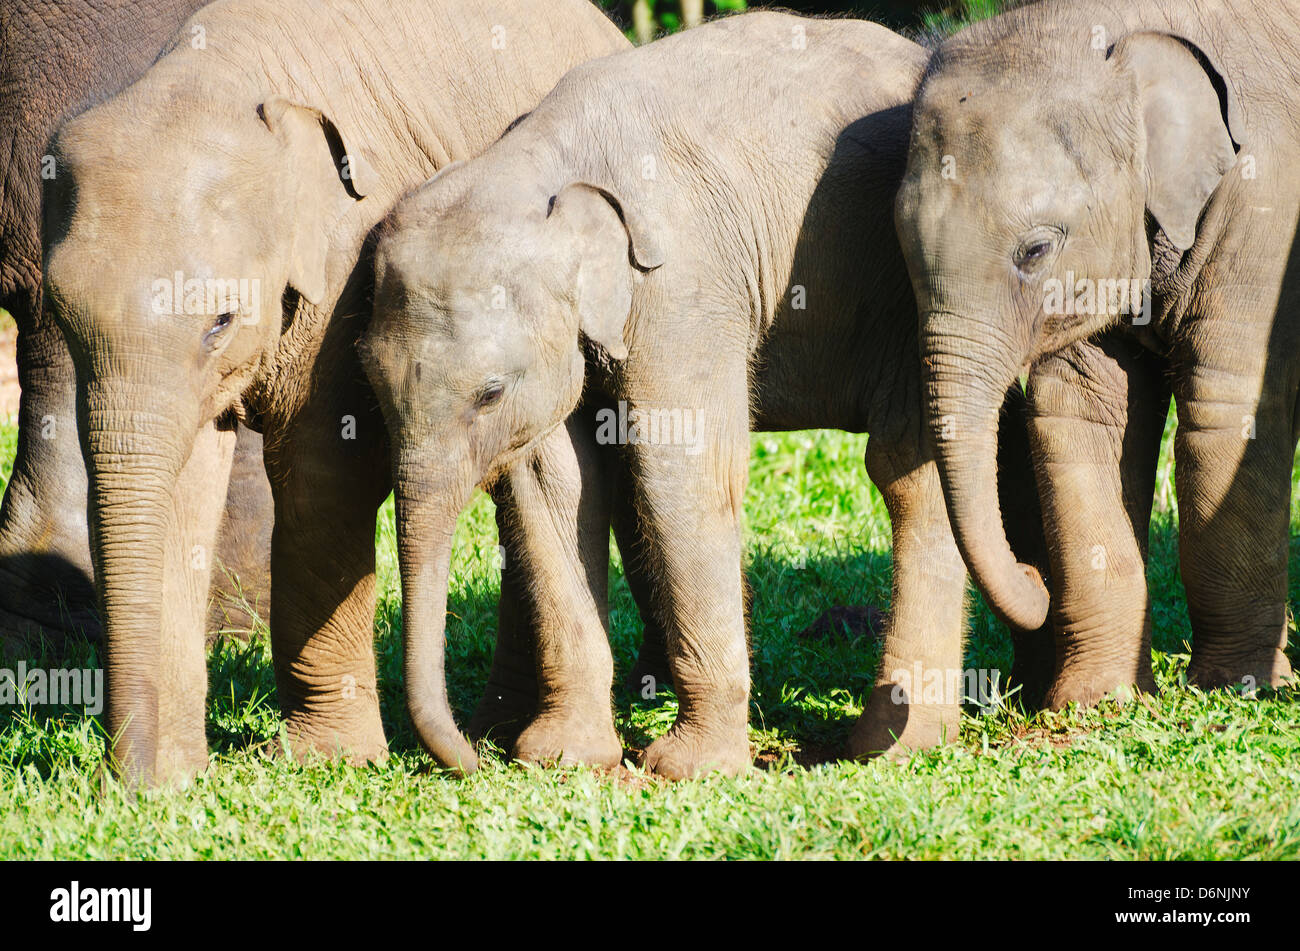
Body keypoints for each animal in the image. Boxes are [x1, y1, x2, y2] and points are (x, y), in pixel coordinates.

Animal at [40, 0, 629, 785]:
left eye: (220, 321)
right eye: (60, 313)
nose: (125, 786)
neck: (217, 79)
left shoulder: (351, 258)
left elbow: (324, 473)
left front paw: (327, 759)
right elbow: (184, 485)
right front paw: (177, 778)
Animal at [360, 11, 1059, 778]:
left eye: (489, 393)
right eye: (370, 385)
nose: (472, 759)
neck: (537, 166)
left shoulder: (682, 285)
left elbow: (683, 468)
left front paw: (687, 768)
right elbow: (552, 483)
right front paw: (563, 758)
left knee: (907, 467)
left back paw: (896, 745)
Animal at [894, 0, 1299, 705]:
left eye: (1035, 250)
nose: (1033, 576)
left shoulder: (1265, 207)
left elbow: (1227, 407)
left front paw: (1239, 688)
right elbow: (1078, 413)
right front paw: (1096, 700)